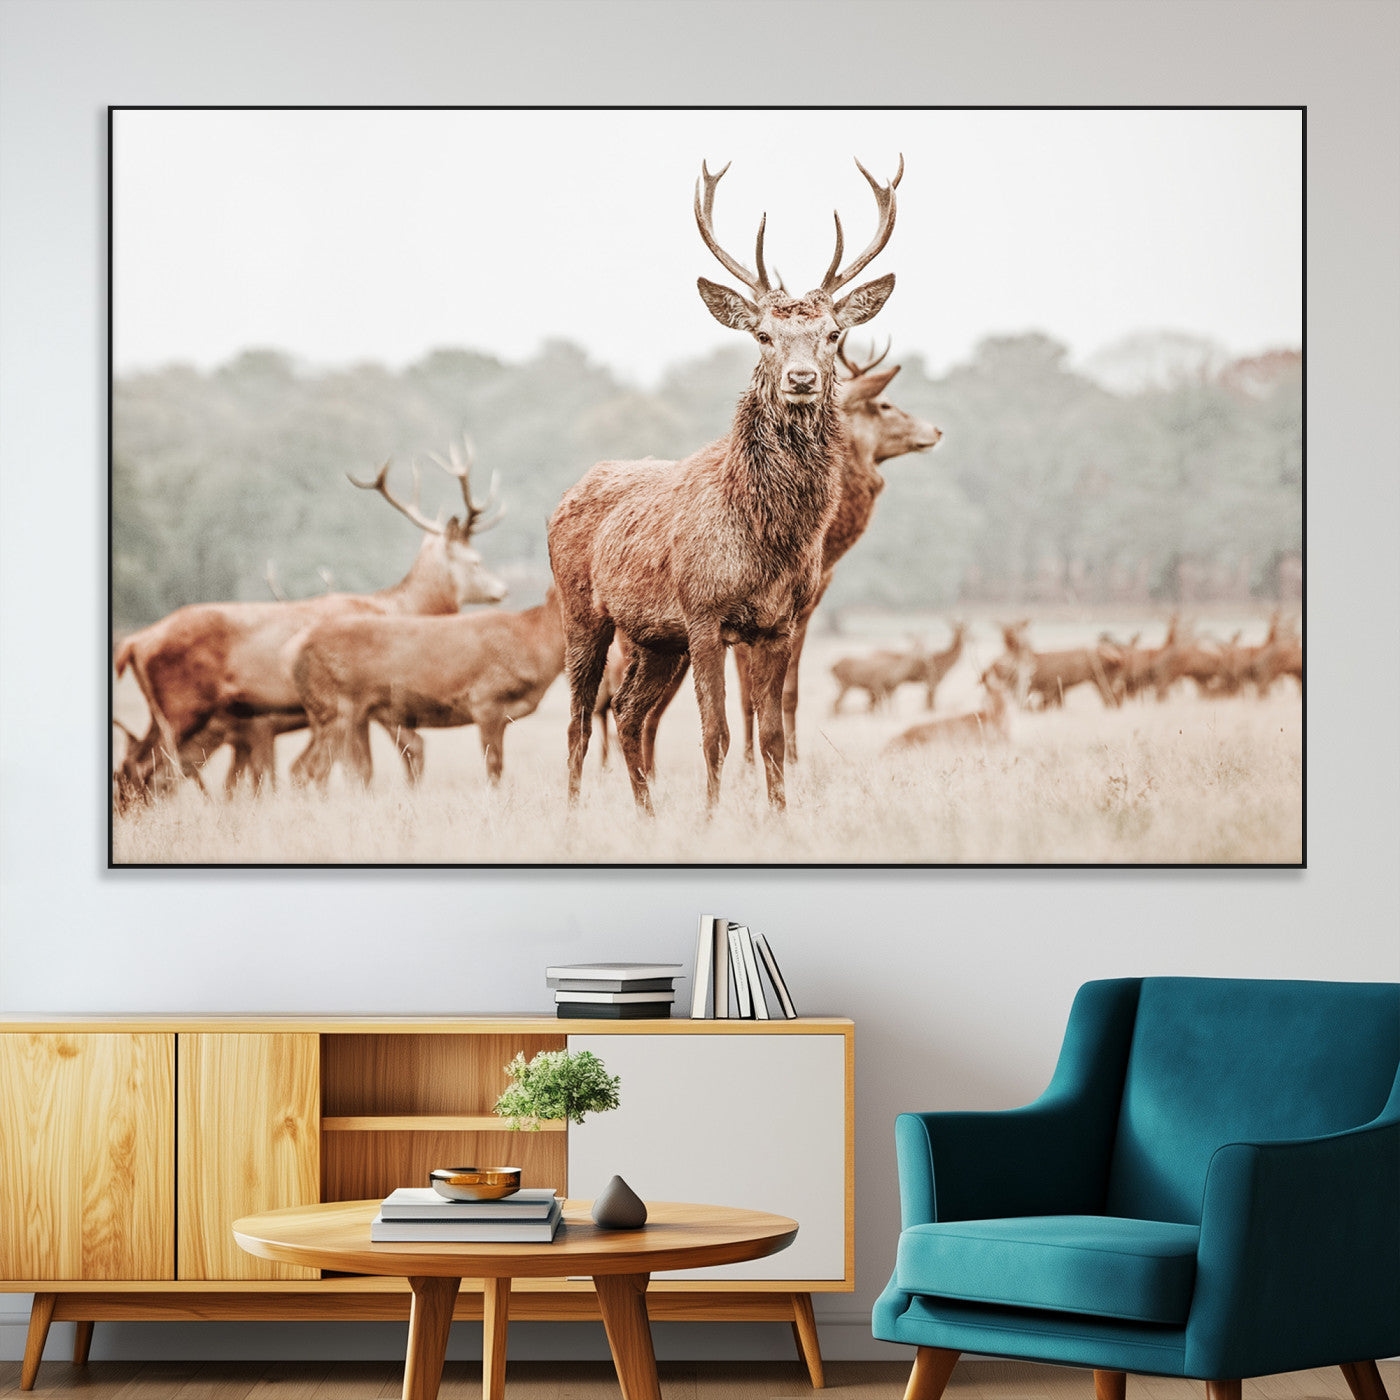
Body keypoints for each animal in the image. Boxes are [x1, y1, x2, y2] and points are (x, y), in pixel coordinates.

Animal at [113, 440, 507, 799]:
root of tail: (134, 642)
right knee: (145, 767)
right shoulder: (371, 701)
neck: (399, 610)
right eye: (475, 560)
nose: (502, 589)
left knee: (138, 765)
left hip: (166, 712)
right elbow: (371, 764)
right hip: (183, 706)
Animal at [290, 588, 565, 789]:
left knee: (307, 768)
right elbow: (494, 766)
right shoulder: (485, 699)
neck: (535, 646)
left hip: (329, 713)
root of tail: (297, 655)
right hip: (336, 707)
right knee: (314, 768)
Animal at [548, 156, 901, 813]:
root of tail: (569, 493)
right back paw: (575, 813)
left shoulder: (778, 622)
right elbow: (716, 733)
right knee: (581, 719)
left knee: (630, 713)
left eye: (833, 334)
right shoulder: (704, 612)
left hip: (656, 638)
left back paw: (647, 814)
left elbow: (771, 734)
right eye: (762, 334)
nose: (801, 378)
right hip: (584, 612)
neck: (765, 539)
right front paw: (712, 818)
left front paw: (779, 815)